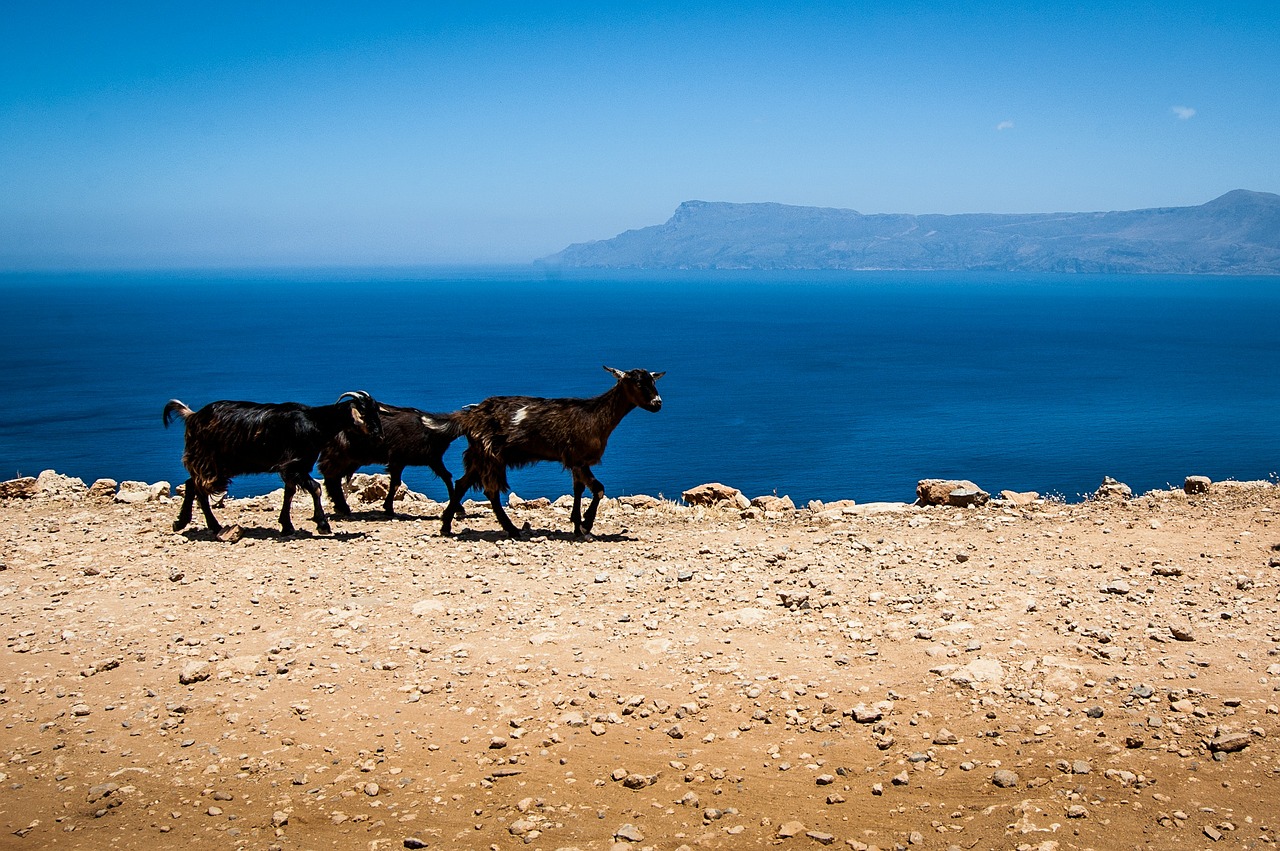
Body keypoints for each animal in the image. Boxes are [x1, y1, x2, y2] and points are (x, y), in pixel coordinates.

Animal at [161, 389, 378, 534]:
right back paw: (212, 526)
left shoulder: (294, 468)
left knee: (192, 484)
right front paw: (323, 524)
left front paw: (287, 526)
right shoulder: (293, 465)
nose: (377, 433)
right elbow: (315, 488)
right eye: (365, 412)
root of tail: (192, 416)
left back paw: (183, 523)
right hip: (209, 462)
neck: (316, 422)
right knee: (198, 488)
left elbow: (289, 493)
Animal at [318, 404, 468, 516]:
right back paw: (343, 507)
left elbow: (447, 477)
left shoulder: (433, 459)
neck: (431, 429)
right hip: (339, 454)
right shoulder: (397, 459)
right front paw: (389, 508)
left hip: (351, 459)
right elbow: (395, 483)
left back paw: (341, 507)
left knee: (334, 478)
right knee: (331, 476)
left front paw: (459, 508)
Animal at [440, 365, 665, 537]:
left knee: (461, 484)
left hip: (479, 455)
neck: (595, 416)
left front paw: (577, 526)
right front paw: (586, 525)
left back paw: (446, 526)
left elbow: (578, 489)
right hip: (490, 454)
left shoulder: (576, 461)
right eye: (637, 383)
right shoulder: (578, 458)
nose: (658, 403)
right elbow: (598, 489)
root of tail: (470, 416)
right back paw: (512, 530)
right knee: (491, 491)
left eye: (653, 382)